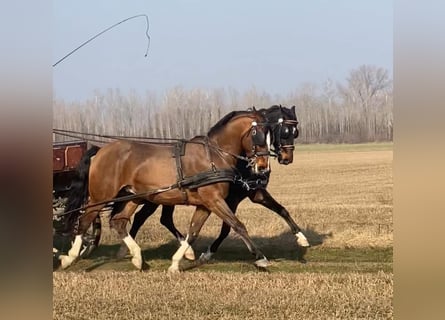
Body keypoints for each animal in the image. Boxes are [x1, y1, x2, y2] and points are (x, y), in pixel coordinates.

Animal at [59, 109, 270, 272]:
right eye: (258, 134)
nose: (263, 166)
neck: (213, 156)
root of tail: (101, 150)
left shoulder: (205, 204)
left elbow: (193, 232)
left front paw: (176, 263)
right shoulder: (214, 200)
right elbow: (238, 224)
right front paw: (261, 257)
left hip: (132, 197)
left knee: (118, 222)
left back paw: (137, 257)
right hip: (100, 196)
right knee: (85, 220)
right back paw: (70, 257)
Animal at [116, 104, 310, 262]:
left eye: (296, 132)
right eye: (285, 131)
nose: (287, 158)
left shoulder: (254, 192)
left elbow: (281, 209)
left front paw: (302, 238)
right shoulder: (228, 199)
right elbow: (227, 228)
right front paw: (208, 252)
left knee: (160, 218)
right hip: (157, 196)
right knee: (146, 218)